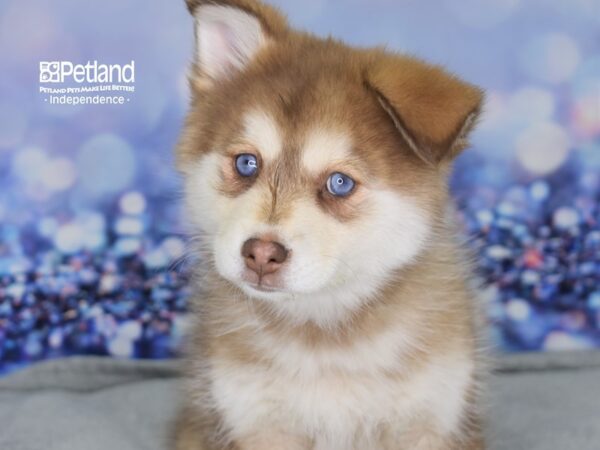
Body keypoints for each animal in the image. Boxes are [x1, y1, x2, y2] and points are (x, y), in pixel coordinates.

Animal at [171, 0, 486, 450]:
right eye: (246, 163)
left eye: (340, 183)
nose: (261, 254)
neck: (326, 334)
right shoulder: (257, 418)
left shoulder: (429, 417)